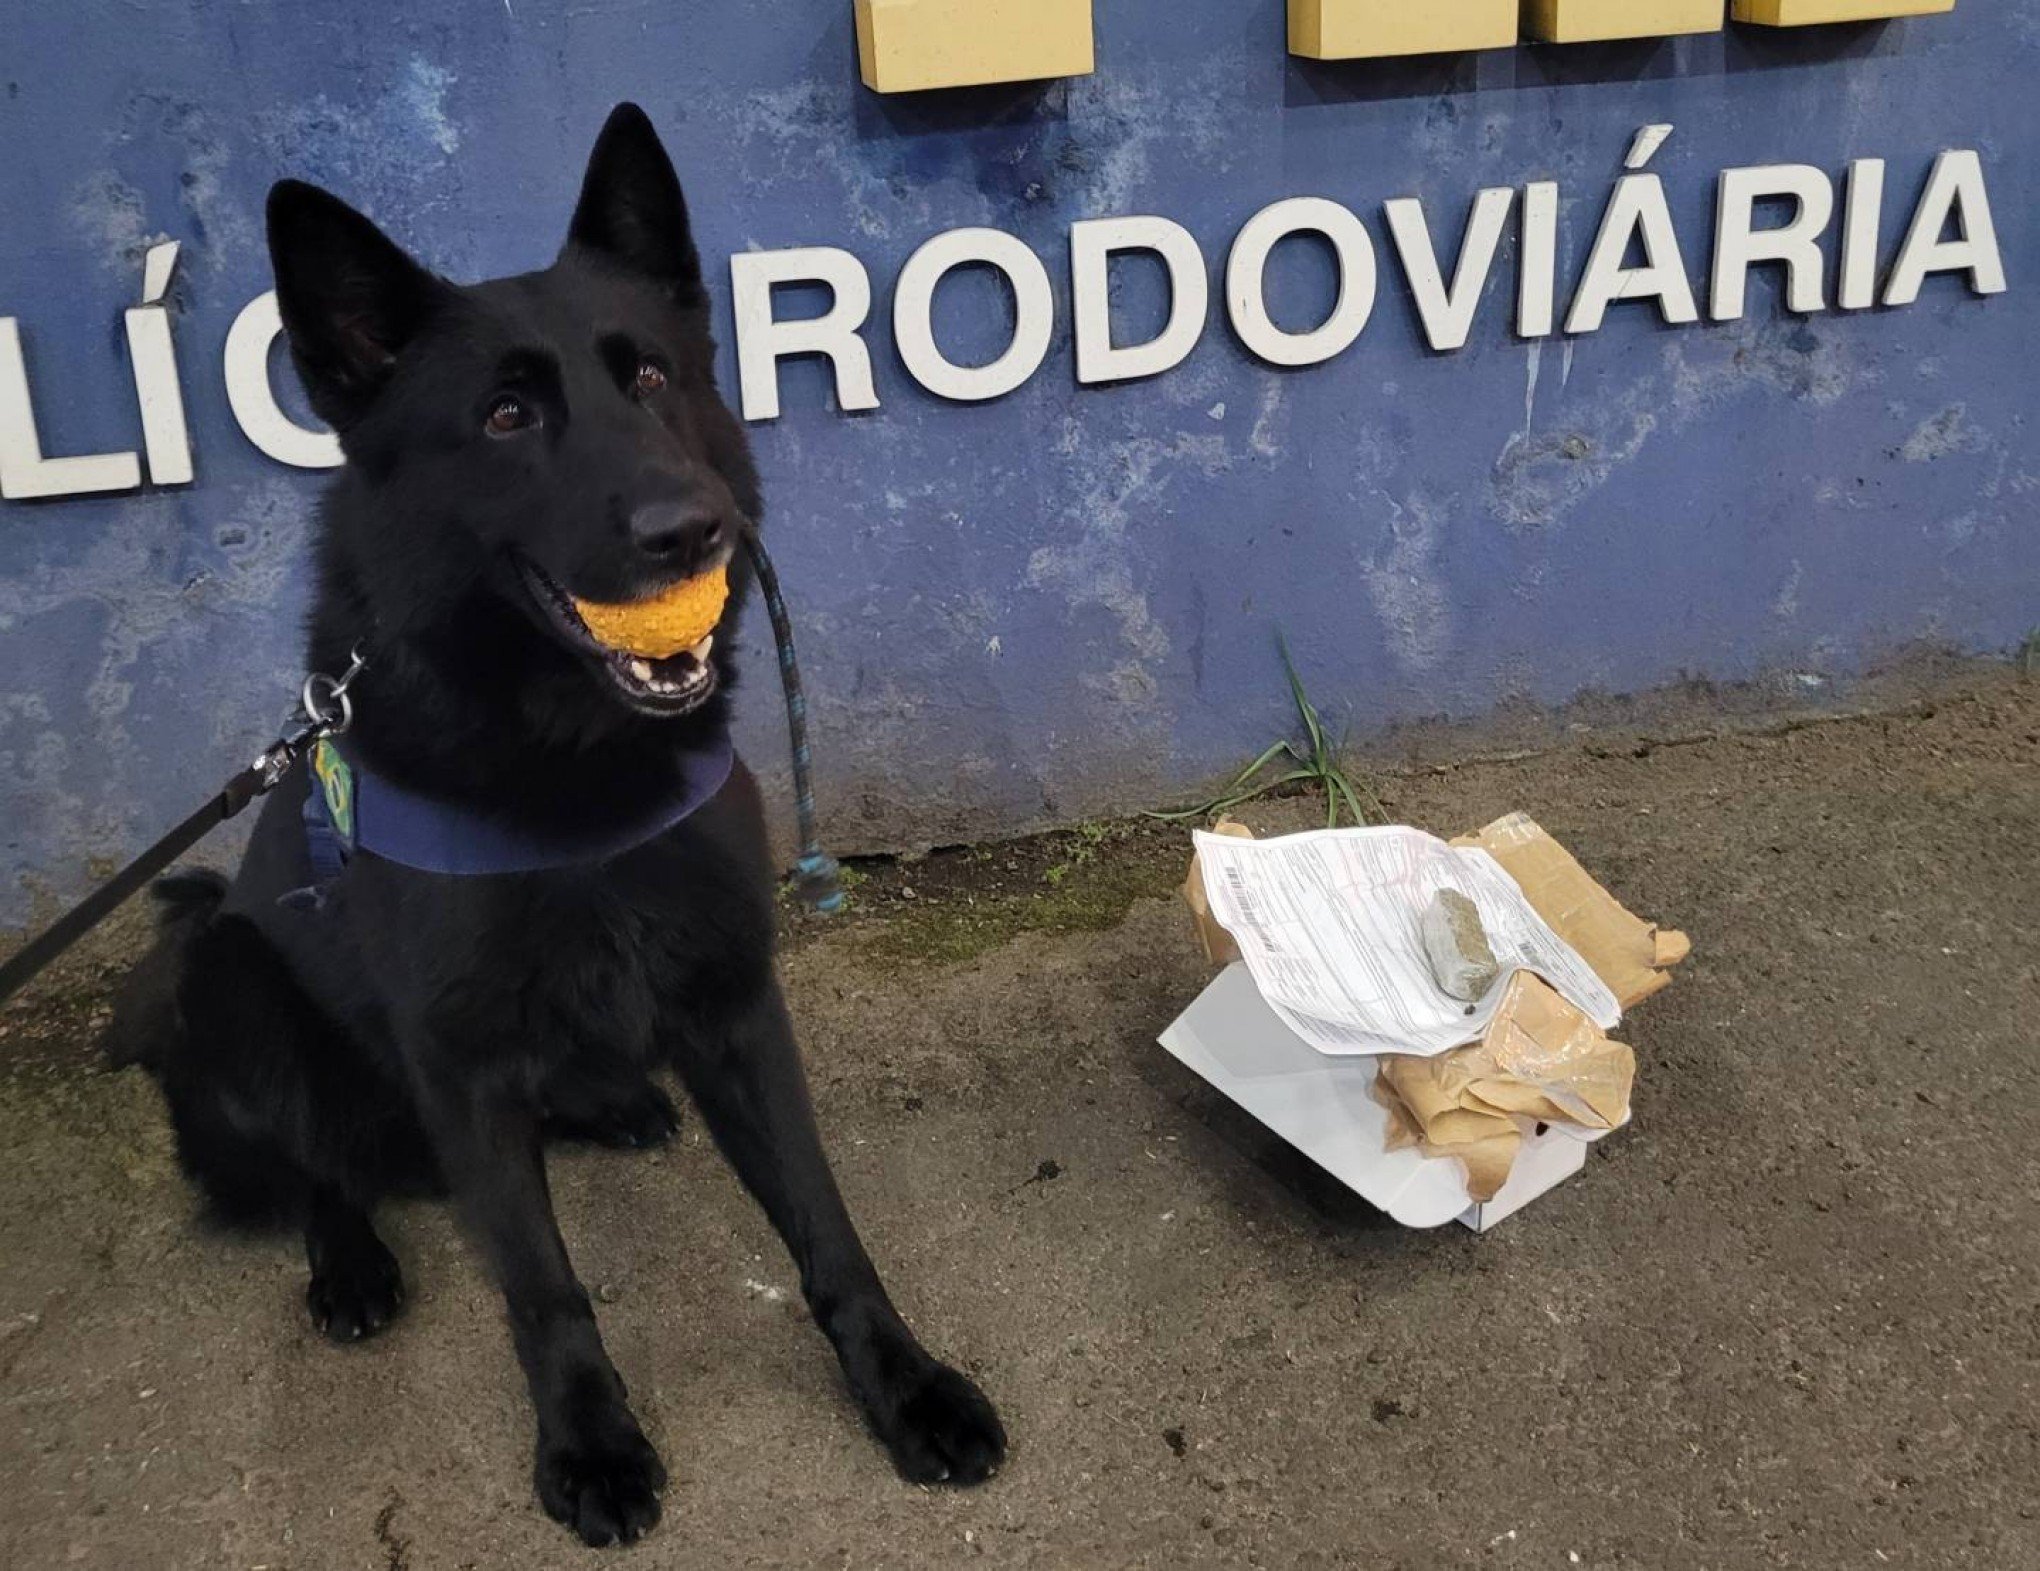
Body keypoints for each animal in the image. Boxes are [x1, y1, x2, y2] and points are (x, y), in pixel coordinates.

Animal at [107, 100, 1007, 1542]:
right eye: (506, 414)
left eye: (649, 378)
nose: (691, 529)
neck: (569, 771)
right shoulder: (462, 1064)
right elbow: (541, 1282)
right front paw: (590, 1439)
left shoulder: (733, 1004)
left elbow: (824, 1222)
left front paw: (903, 1380)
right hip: (229, 976)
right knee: (317, 1166)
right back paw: (349, 1254)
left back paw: (606, 1101)